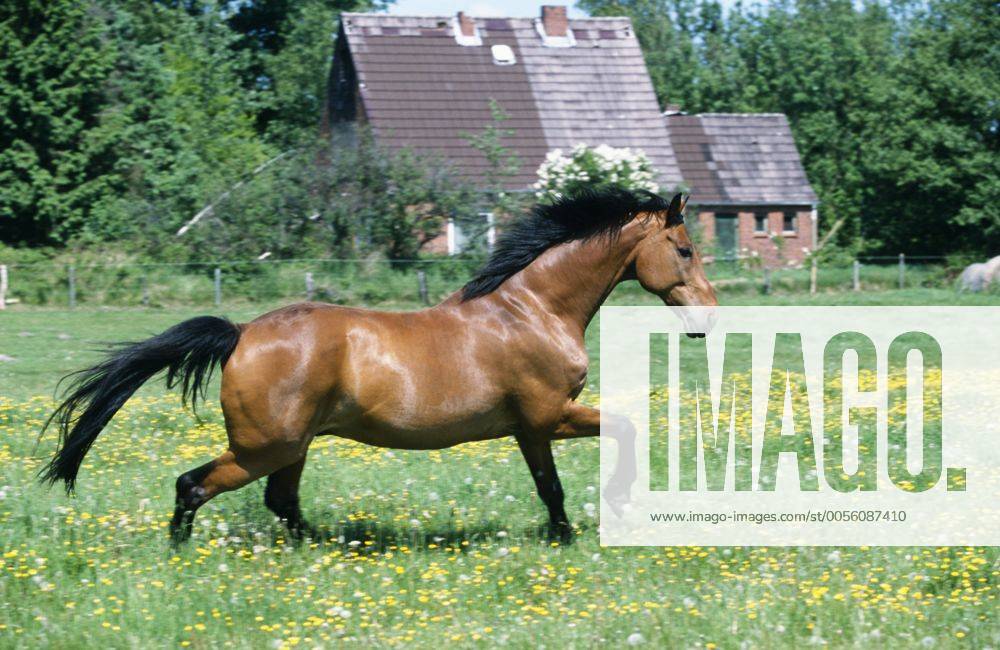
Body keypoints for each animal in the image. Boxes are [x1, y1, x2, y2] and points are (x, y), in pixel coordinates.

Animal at [40, 187, 717, 544]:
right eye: (684, 249)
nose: (708, 318)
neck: (531, 310)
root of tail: (241, 334)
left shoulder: (530, 427)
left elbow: (553, 480)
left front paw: (568, 532)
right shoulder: (547, 415)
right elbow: (611, 439)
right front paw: (599, 517)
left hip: (292, 446)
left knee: (280, 501)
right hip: (266, 445)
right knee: (193, 485)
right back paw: (185, 554)